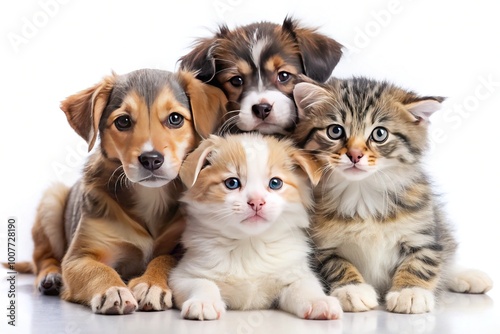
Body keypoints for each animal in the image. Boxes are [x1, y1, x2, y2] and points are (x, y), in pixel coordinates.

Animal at [15, 69, 227, 314]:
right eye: (123, 121)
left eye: (175, 119)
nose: (151, 159)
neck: (151, 197)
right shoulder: (78, 256)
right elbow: (98, 270)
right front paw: (112, 289)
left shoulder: (183, 247)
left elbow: (165, 259)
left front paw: (151, 284)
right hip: (52, 198)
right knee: (42, 258)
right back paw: (50, 276)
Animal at [169, 133, 344, 320]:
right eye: (232, 183)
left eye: (275, 183)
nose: (257, 202)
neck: (250, 242)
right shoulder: (184, 274)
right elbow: (202, 284)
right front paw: (203, 302)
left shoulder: (295, 273)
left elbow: (304, 286)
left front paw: (319, 301)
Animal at [292, 77, 492, 314]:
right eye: (335, 131)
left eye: (379, 134)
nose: (354, 155)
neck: (362, 193)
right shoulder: (320, 246)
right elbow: (335, 264)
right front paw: (353, 289)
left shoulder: (423, 232)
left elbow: (422, 261)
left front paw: (410, 292)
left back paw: (468, 276)